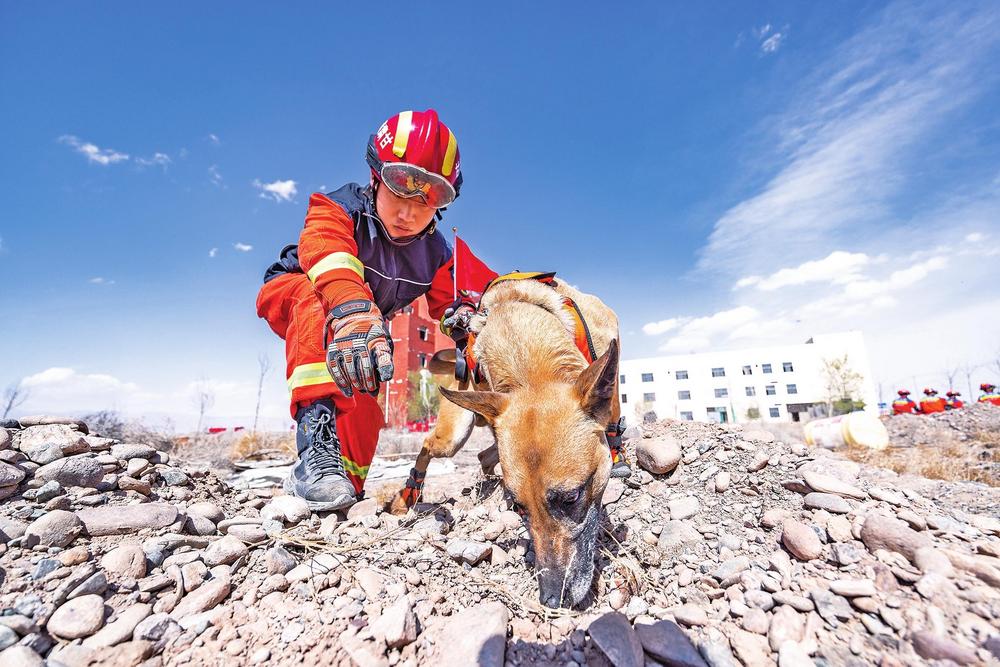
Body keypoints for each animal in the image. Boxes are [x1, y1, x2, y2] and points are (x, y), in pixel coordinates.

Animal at [389, 276, 620, 608]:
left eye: (571, 498)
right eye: (519, 507)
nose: (550, 598)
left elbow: (614, 413)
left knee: (485, 456)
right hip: (454, 433)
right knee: (431, 445)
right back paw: (409, 492)